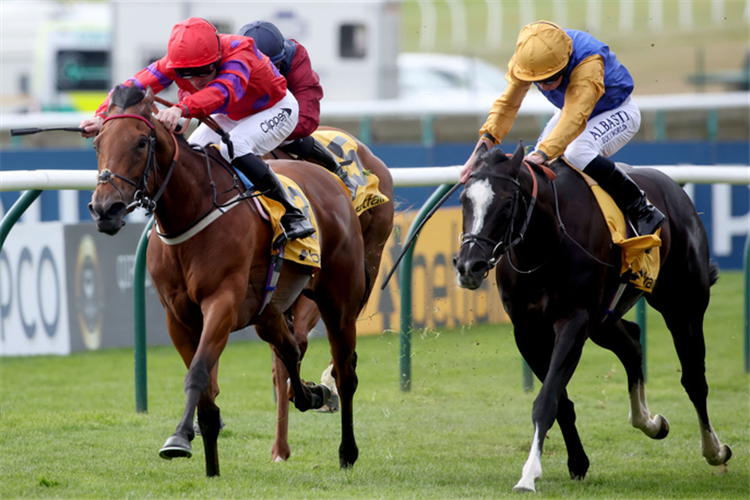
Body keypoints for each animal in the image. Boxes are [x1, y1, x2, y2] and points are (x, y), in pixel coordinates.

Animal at [89, 86, 370, 476]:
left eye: (141, 142)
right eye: (97, 142)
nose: (105, 209)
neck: (192, 210)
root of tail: (331, 179)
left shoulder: (221, 303)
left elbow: (198, 374)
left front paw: (178, 440)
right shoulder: (178, 318)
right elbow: (206, 390)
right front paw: (210, 466)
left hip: (338, 300)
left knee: (345, 372)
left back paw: (347, 450)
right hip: (268, 311)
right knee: (290, 350)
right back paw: (312, 395)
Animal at [452, 142, 736, 492]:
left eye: (506, 203)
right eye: (464, 200)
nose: (469, 266)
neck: (544, 244)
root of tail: (676, 190)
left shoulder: (574, 321)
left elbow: (546, 401)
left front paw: (529, 474)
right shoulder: (528, 331)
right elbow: (560, 401)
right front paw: (577, 462)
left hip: (683, 304)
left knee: (694, 377)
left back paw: (714, 451)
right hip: (604, 319)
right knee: (632, 344)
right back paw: (649, 422)